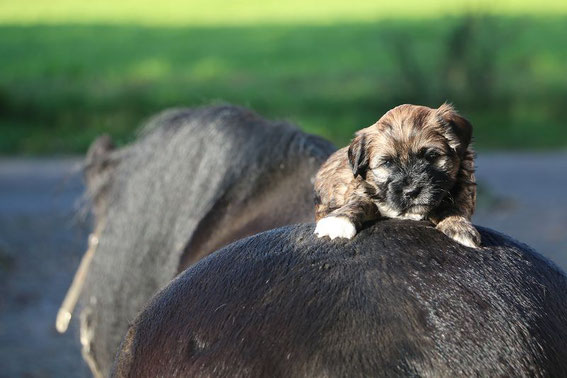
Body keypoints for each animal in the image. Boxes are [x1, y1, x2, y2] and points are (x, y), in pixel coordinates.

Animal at [312, 102, 482, 248]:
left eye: (431, 156)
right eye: (387, 163)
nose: (411, 191)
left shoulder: (464, 188)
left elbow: (455, 206)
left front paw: (459, 226)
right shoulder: (362, 189)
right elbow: (360, 201)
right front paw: (339, 220)